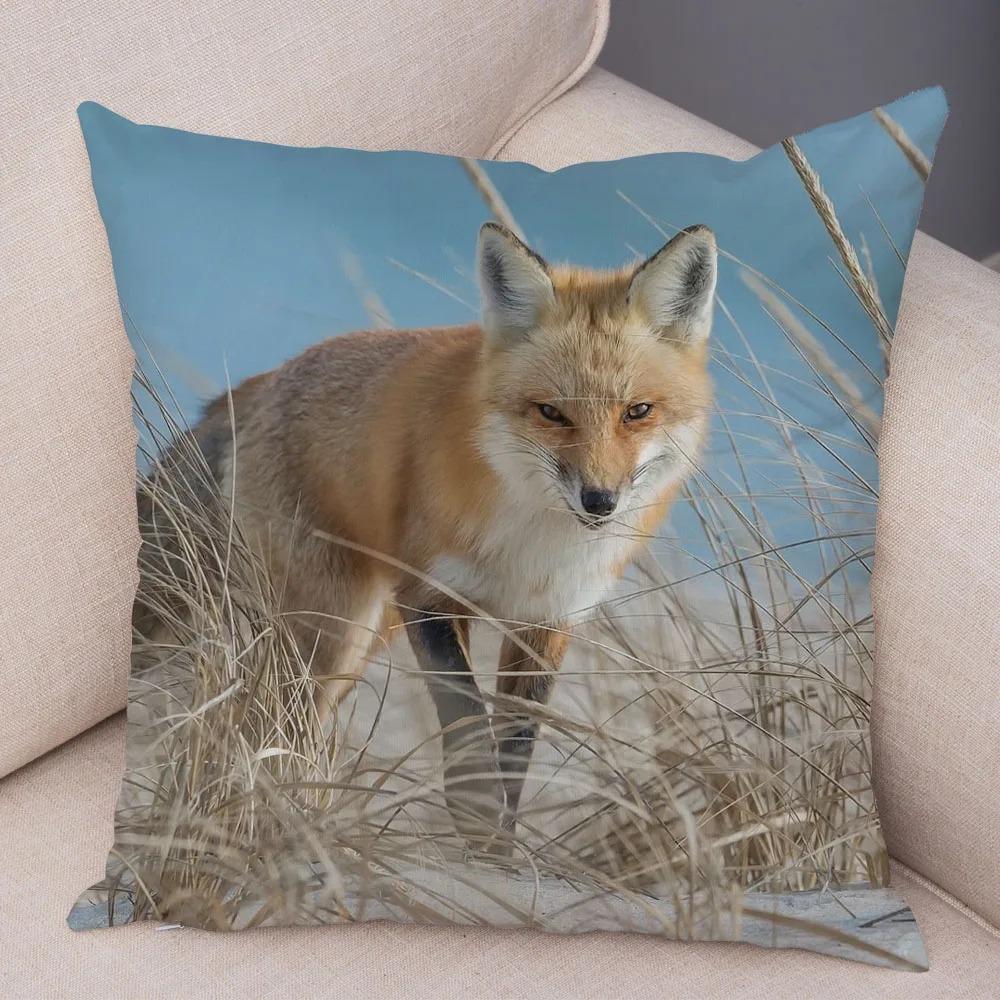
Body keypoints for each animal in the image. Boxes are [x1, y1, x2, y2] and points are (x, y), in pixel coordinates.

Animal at [136, 221, 717, 848]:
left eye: (637, 411)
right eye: (551, 413)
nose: (600, 501)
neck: (532, 543)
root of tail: (256, 384)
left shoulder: (547, 620)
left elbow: (513, 755)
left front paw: (500, 855)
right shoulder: (430, 597)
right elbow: (469, 738)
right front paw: (478, 833)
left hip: (362, 639)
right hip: (331, 632)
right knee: (264, 727)